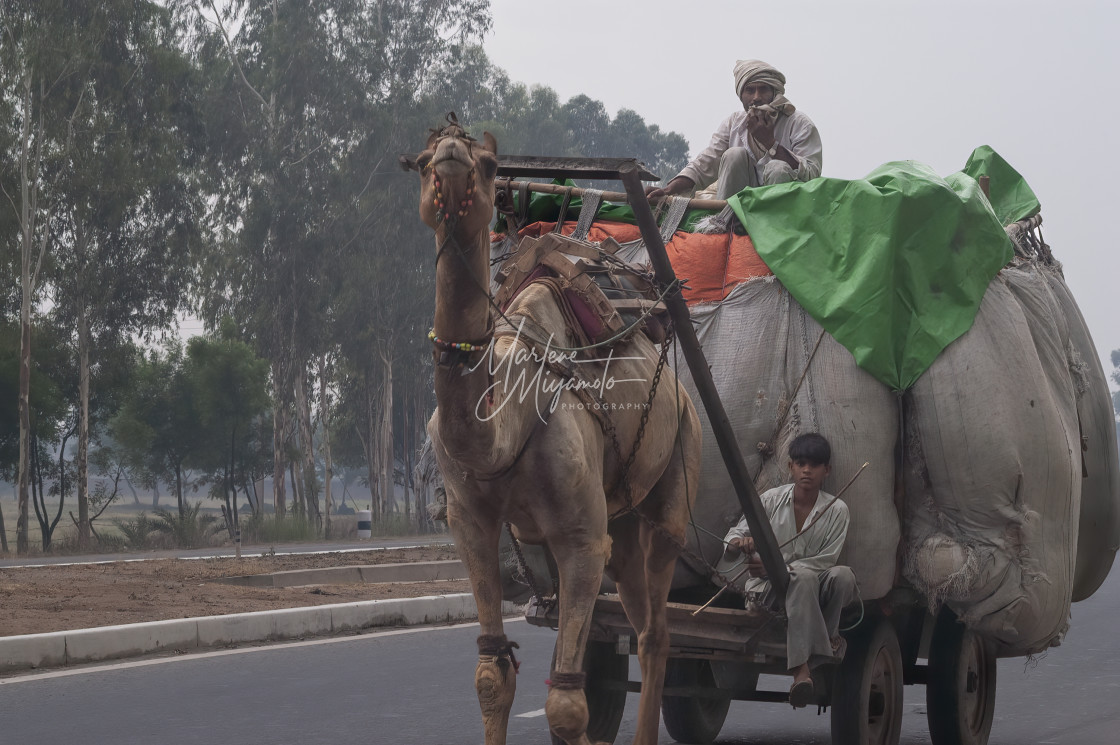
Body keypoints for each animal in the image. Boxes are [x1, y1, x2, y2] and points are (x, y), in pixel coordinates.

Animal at [418, 117, 698, 743]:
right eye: (422, 160)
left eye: (488, 164)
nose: (451, 155)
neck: (502, 427)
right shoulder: (470, 524)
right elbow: (492, 674)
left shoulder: (578, 536)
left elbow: (568, 703)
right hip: (619, 523)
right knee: (640, 618)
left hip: (676, 475)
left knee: (657, 632)